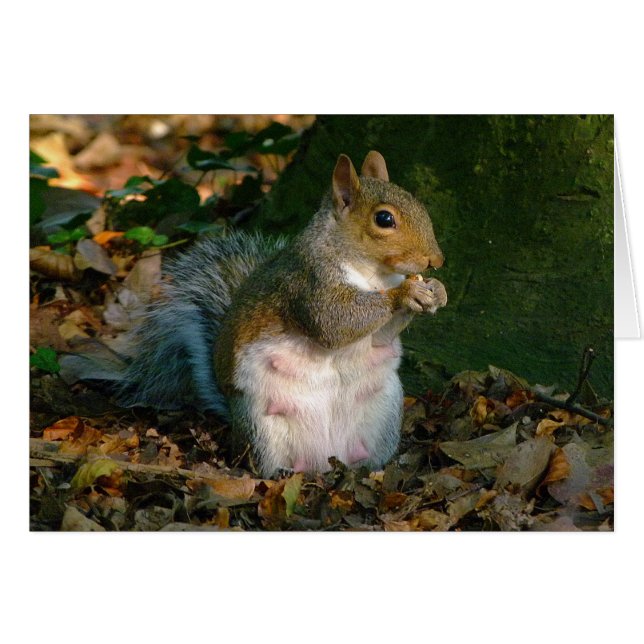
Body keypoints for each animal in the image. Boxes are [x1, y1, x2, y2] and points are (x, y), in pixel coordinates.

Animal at [95, 151, 447, 477]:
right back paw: (281, 473)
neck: (373, 275)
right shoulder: (309, 283)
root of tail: (324, 458)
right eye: (384, 219)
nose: (437, 260)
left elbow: (380, 338)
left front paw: (436, 291)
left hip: (384, 411)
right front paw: (406, 294)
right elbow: (333, 323)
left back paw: (370, 469)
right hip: (261, 424)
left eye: (418, 203)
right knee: (262, 464)